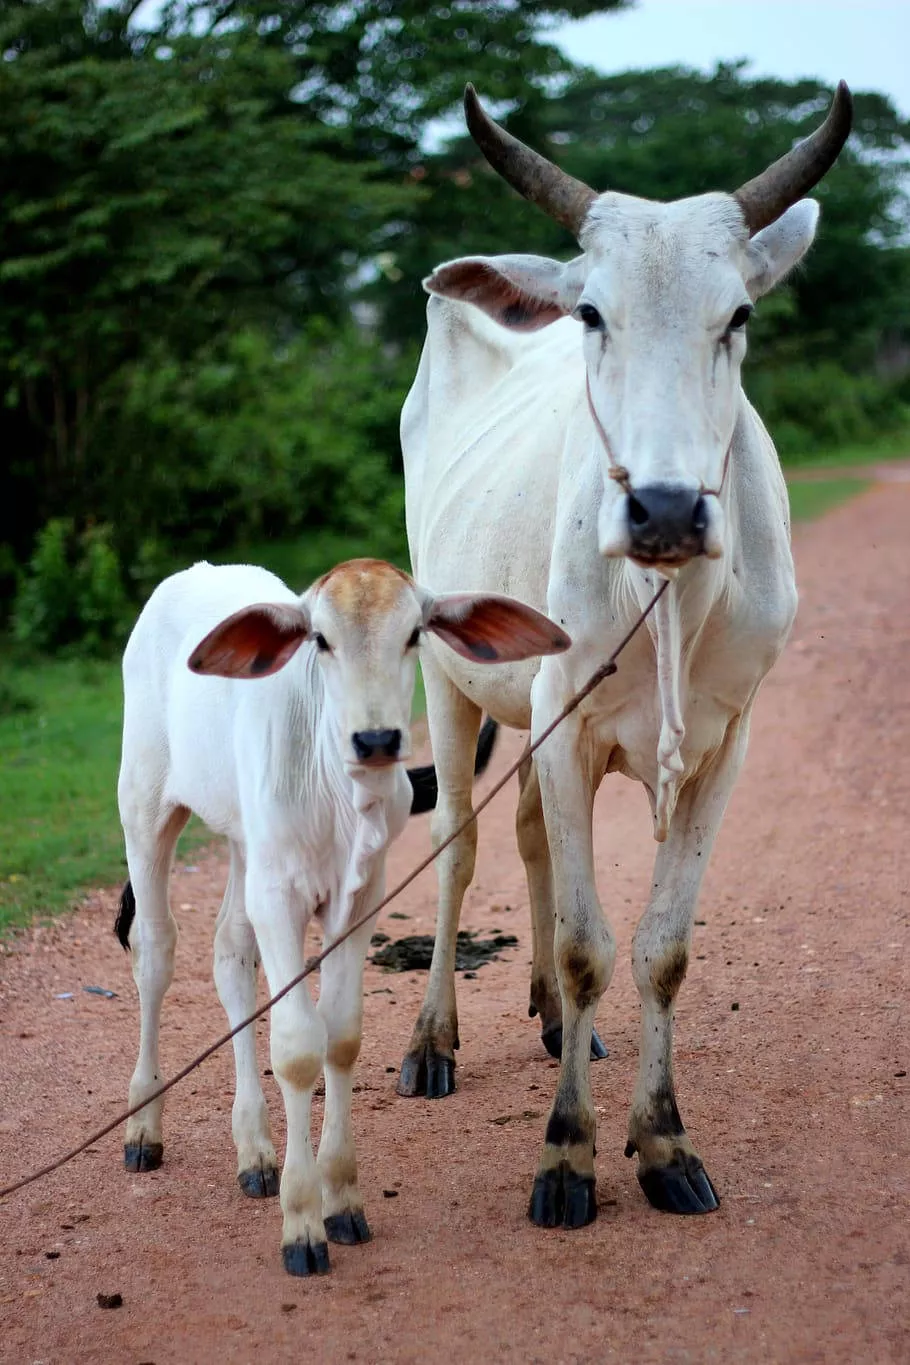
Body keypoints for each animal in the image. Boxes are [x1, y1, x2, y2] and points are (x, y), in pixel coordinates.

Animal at [114, 557, 569, 1273]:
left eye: (414, 634)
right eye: (320, 640)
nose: (378, 738)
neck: (337, 790)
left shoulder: (357, 902)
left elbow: (342, 1037)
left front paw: (342, 1200)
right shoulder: (279, 899)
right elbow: (299, 1047)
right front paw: (302, 1223)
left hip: (244, 845)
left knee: (229, 955)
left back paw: (254, 1150)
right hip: (144, 806)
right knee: (155, 952)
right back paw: (143, 1127)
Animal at [397, 83, 852, 1228]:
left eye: (737, 317)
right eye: (592, 315)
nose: (664, 509)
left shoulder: (726, 742)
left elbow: (659, 951)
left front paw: (661, 1140)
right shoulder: (563, 722)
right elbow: (582, 942)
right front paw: (567, 1152)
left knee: (526, 839)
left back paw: (560, 1024)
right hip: (447, 677)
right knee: (463, 846)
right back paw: (432, 1040)